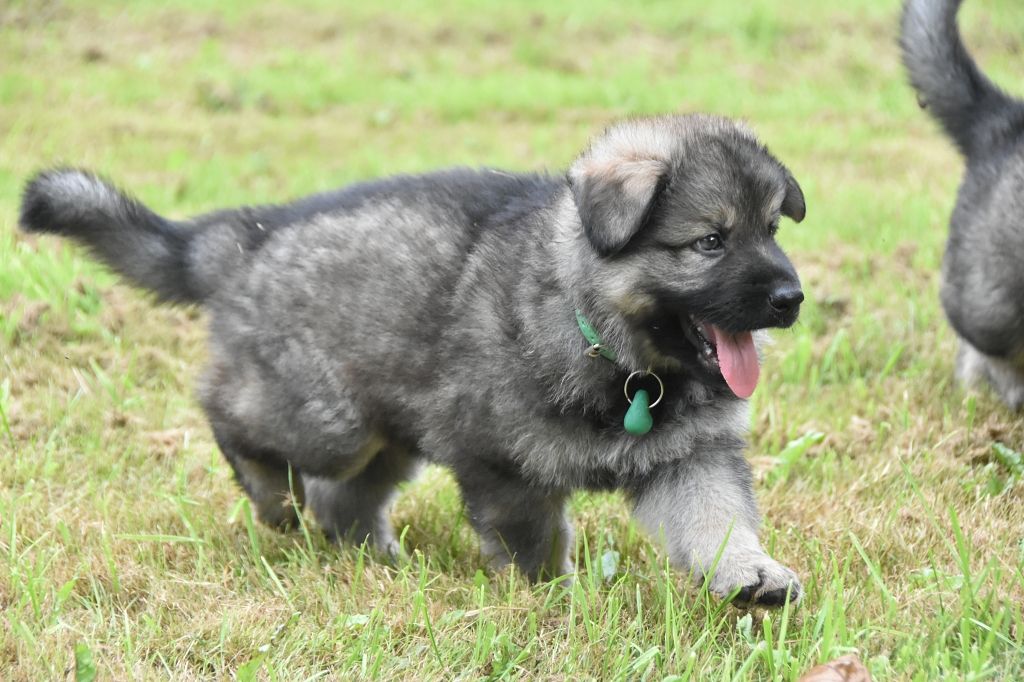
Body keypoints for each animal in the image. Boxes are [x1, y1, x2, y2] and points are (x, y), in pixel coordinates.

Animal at [20, 114, 806, 606]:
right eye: (710, 241)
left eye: (772, 229)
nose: (792, 297)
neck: (615, 348)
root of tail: (251, 236)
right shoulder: (502, 465)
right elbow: (534, 544)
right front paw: (553, 602)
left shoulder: (690, 454)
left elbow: (716, 520)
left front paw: (751, 574)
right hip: (327, 420)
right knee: (233, 413)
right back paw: (269, 494)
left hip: (388, 430)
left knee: (345, 500)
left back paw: (381, 564)